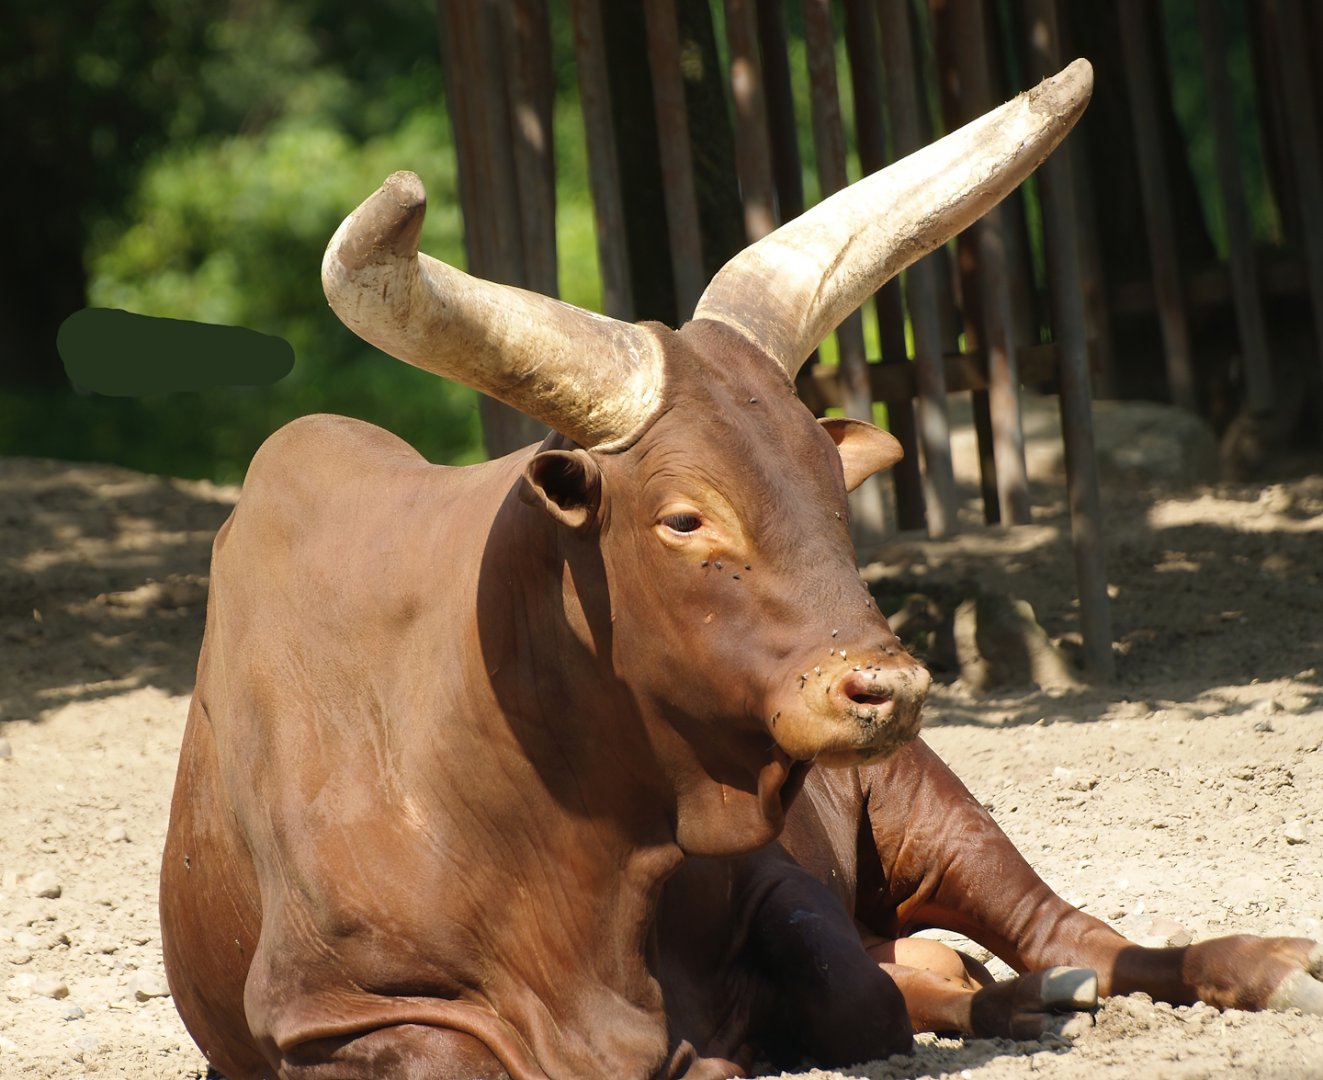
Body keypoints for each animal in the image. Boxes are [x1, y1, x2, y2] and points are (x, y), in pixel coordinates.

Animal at [160, 59, 1321, 1080]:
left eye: (829, 486)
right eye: (684, 518)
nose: (885, 688)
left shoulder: (776, 878)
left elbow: (857, 999)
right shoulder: (335, 1019)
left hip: (923, 800)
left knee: (1063, 936)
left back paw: (1254, 965)